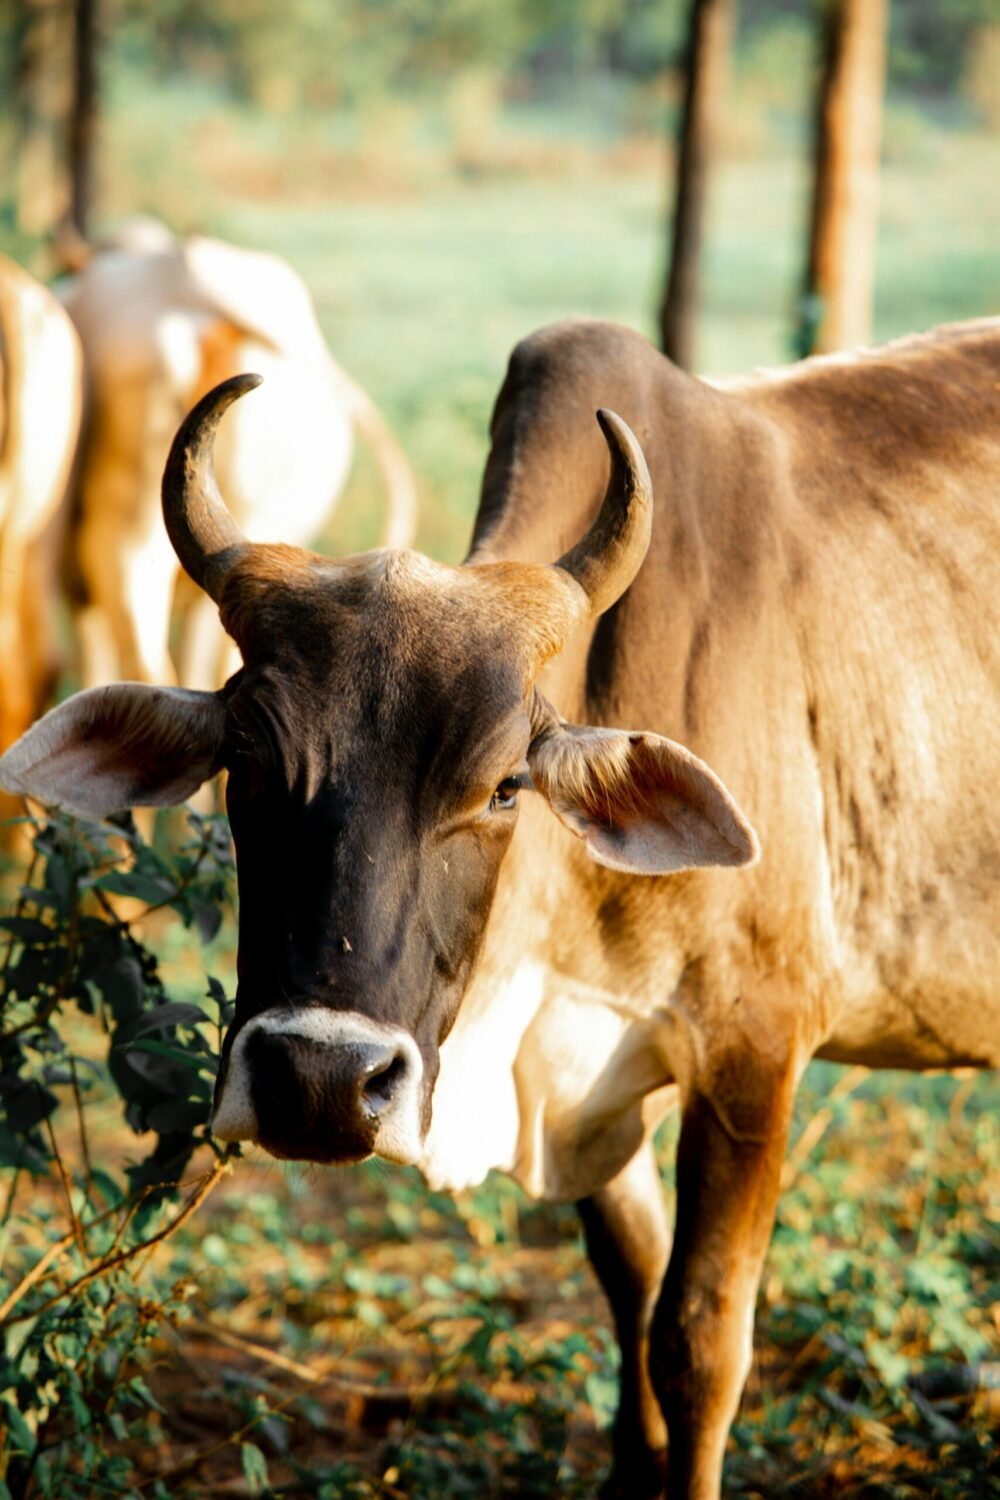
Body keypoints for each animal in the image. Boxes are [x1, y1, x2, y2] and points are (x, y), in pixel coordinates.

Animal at [2, 314, 998, 1500]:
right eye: (245, 760)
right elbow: (631, 1284)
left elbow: (699, 1337)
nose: (320, 1083)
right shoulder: (587, 1075)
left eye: (505, 784)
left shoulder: (753, 1051)